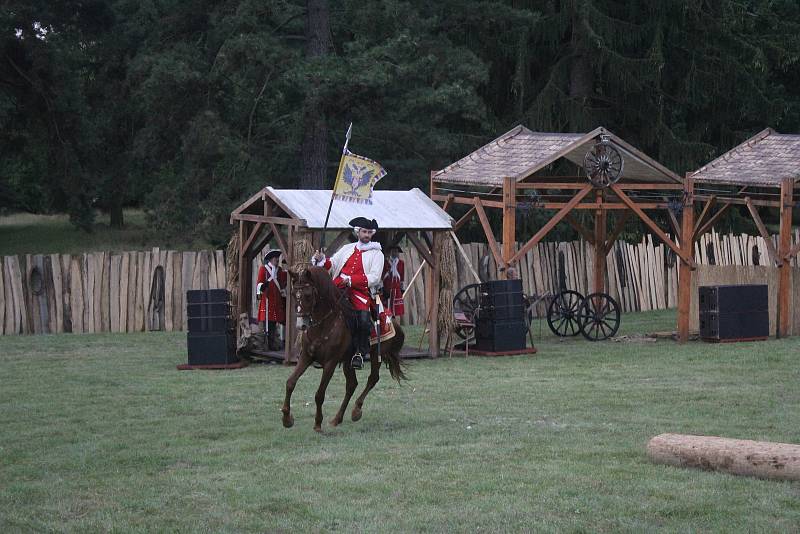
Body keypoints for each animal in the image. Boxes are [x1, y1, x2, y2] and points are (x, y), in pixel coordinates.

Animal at [282, 266, 406, 434]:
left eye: (308, 295)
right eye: (294, 294)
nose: (301, 325)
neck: (325, 323)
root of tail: (391, 320)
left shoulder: (330, 362)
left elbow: (319, 394)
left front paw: (318, 424)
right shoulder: (306, 357)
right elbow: (290, 382)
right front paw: (287, 418)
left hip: (375, 355)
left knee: (372, 378)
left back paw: (356, 410)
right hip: (348, 361)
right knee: (352, 384)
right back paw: (337, 419)